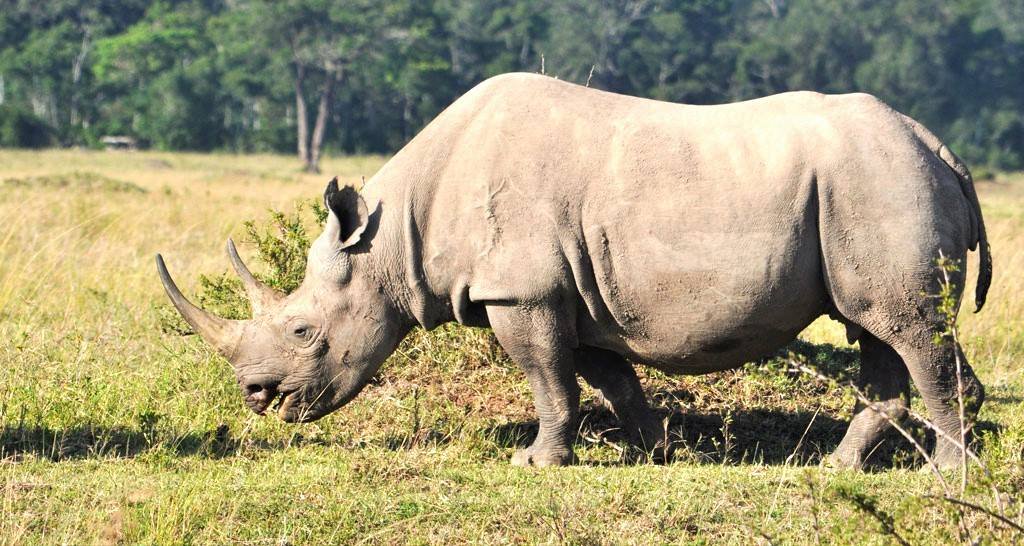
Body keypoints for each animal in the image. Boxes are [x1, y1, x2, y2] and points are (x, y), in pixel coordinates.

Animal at [158, 73, 991, 468]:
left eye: (305, 331)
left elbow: (548, 378)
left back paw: (945, 474)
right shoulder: (570, 291)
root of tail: (940, 146)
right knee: (876, 329)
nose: (257, 399)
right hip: (871, 185)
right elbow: (606, 376)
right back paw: (839, 469)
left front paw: (535, 461)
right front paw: (652, 451)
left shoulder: (520, 288)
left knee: (906, 330)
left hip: (880, 181)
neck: (394, 236)